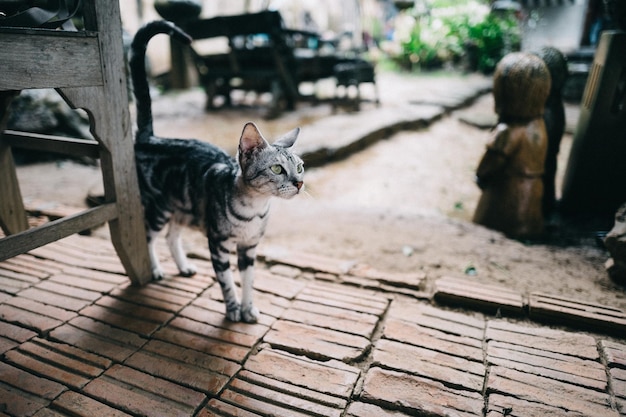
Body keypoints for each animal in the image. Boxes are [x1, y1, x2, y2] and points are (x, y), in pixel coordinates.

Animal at [129, 21, 302, 324]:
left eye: (300, 167)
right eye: (277, 168)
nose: (300, 183)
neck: (255, 210)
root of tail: (150, 137)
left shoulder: (250, 247)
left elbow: (248, 281)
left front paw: (248, 309)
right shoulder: (218, 243)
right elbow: (227, 282)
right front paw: (233, 309)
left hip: (183, 208)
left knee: (171, 237)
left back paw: (183, 266)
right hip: (159, 208)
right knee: (150, 236)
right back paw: (155, 270)